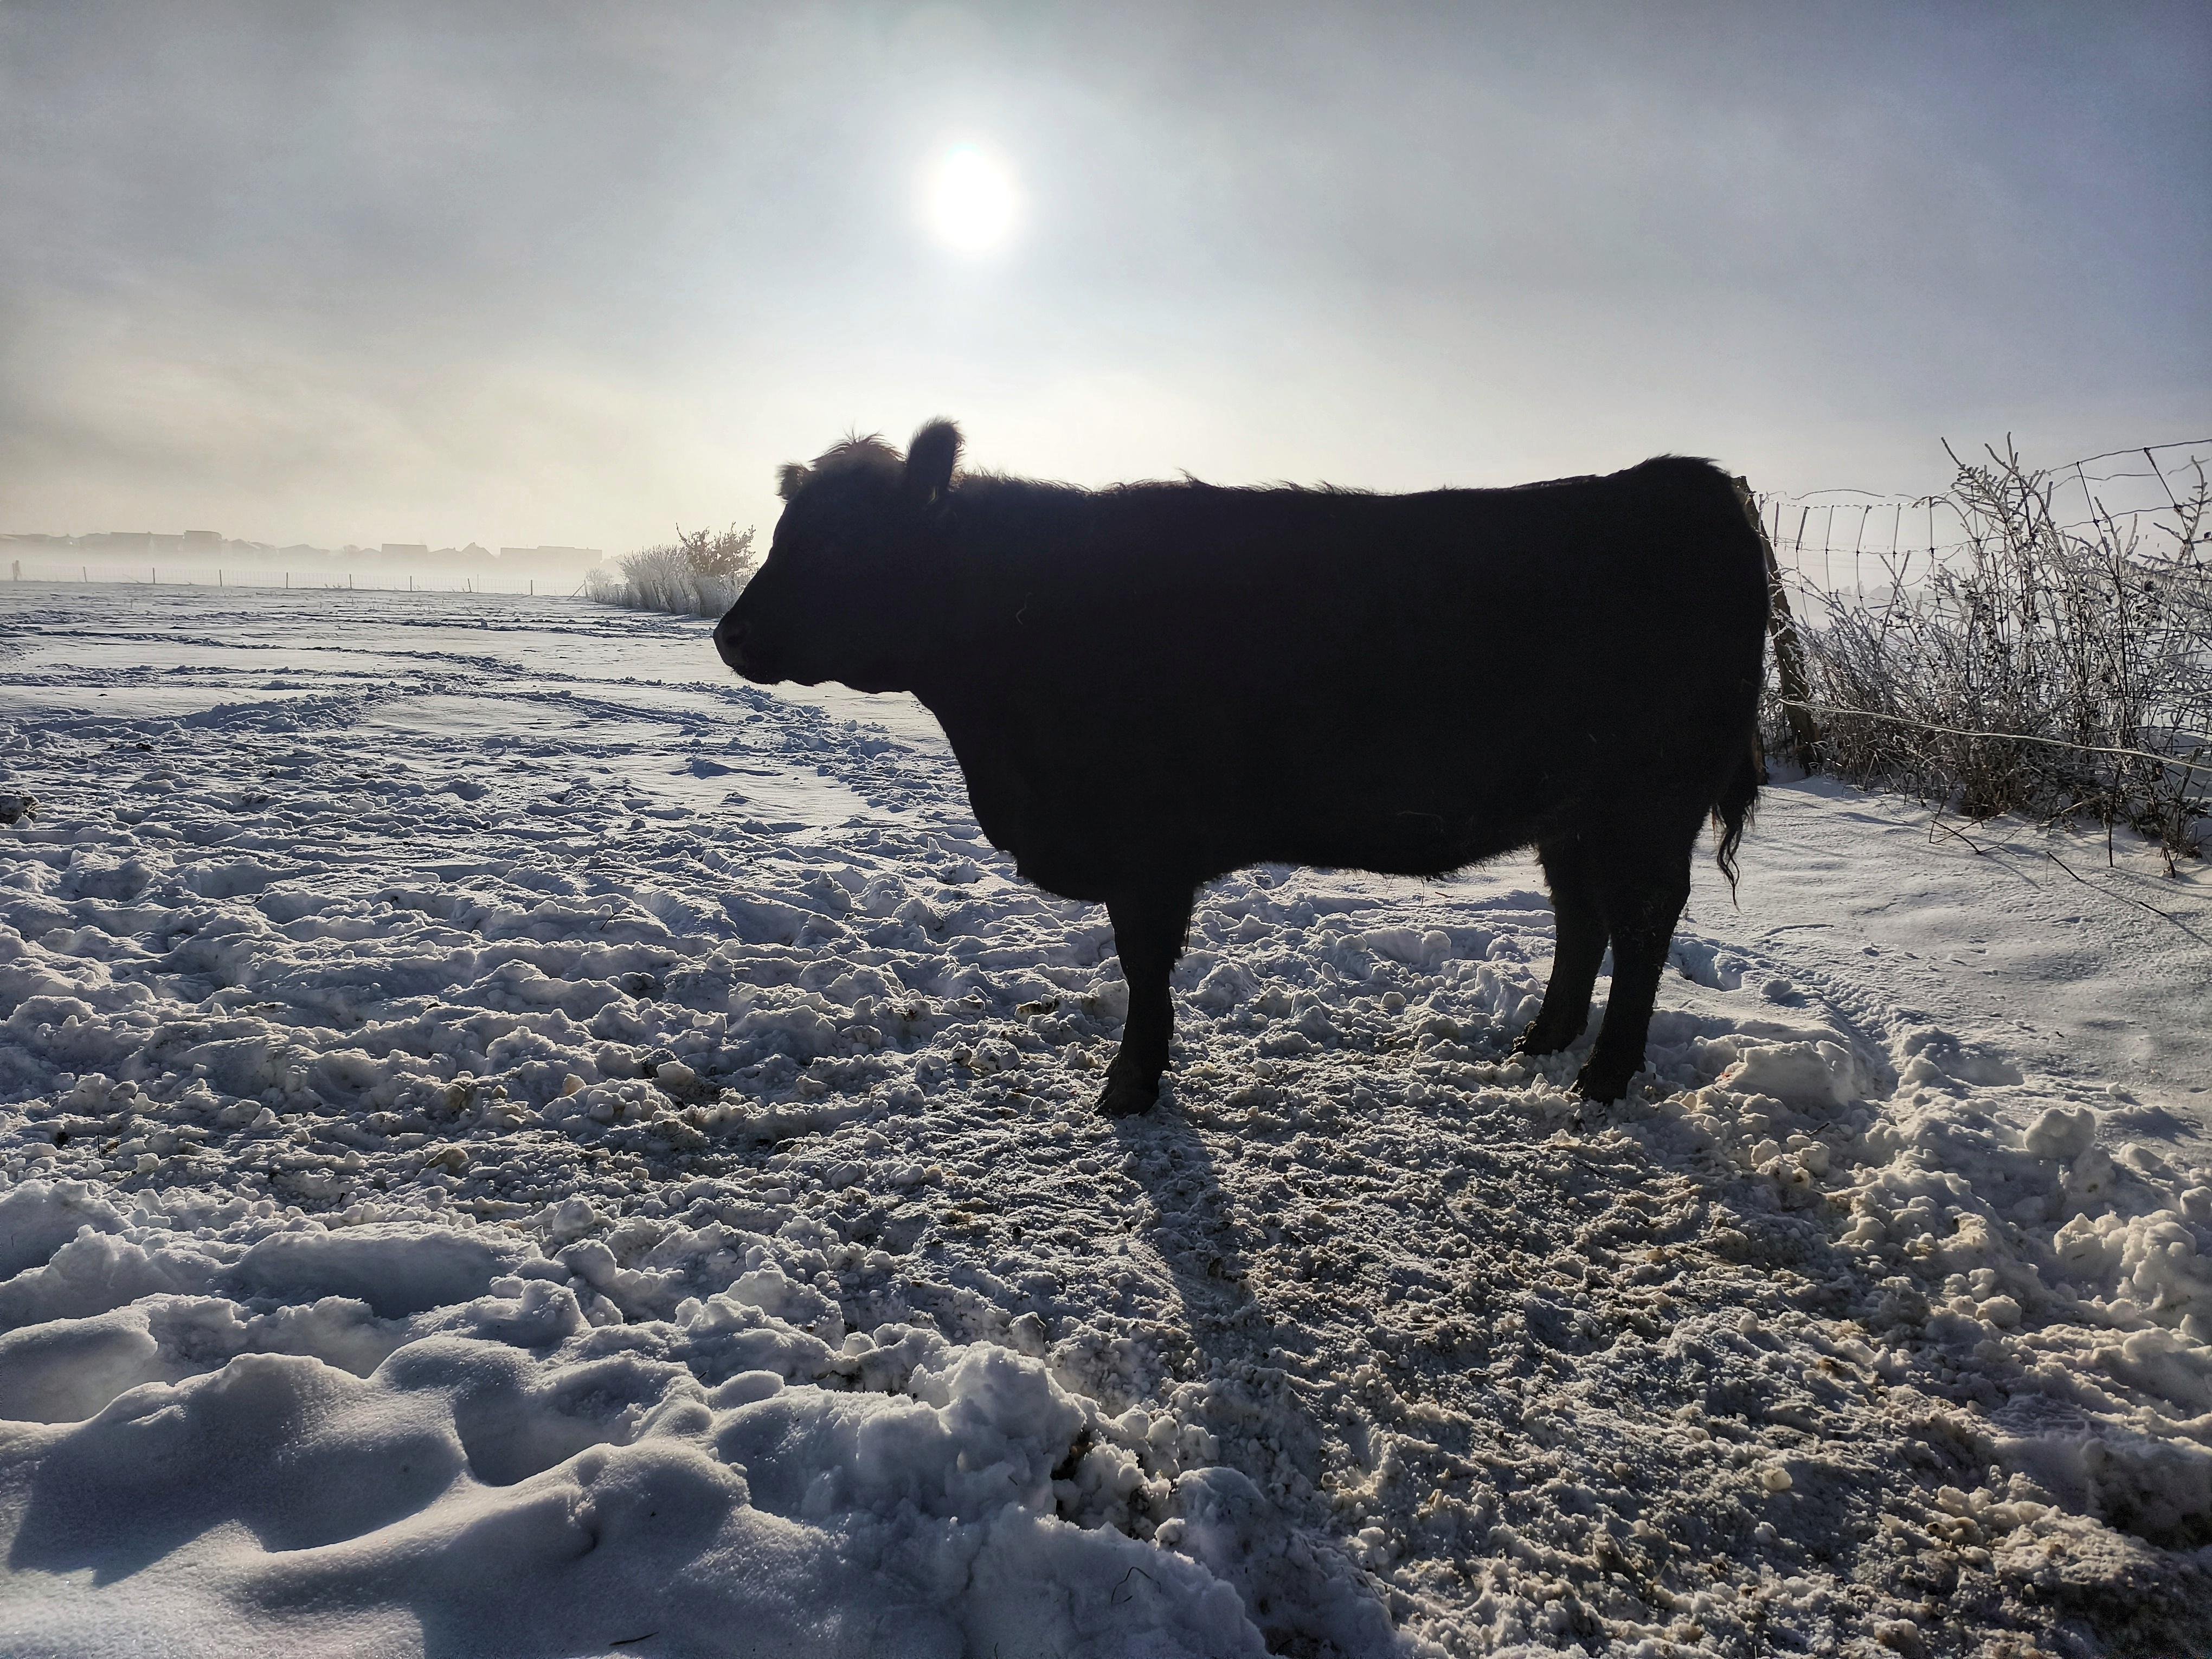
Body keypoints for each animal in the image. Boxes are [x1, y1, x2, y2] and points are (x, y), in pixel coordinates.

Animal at [717, 421, 1767, 1116]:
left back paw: (1604, 1075)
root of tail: (1685, 480)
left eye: (839, 541)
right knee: (1581, 918)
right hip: (1573, 814)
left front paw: (1129, 1087)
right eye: (784, 531)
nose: (730, 634)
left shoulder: (1146, 852)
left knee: (1641, 923)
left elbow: (1144, 968)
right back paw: (1541, 1040)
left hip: (1649, 804)